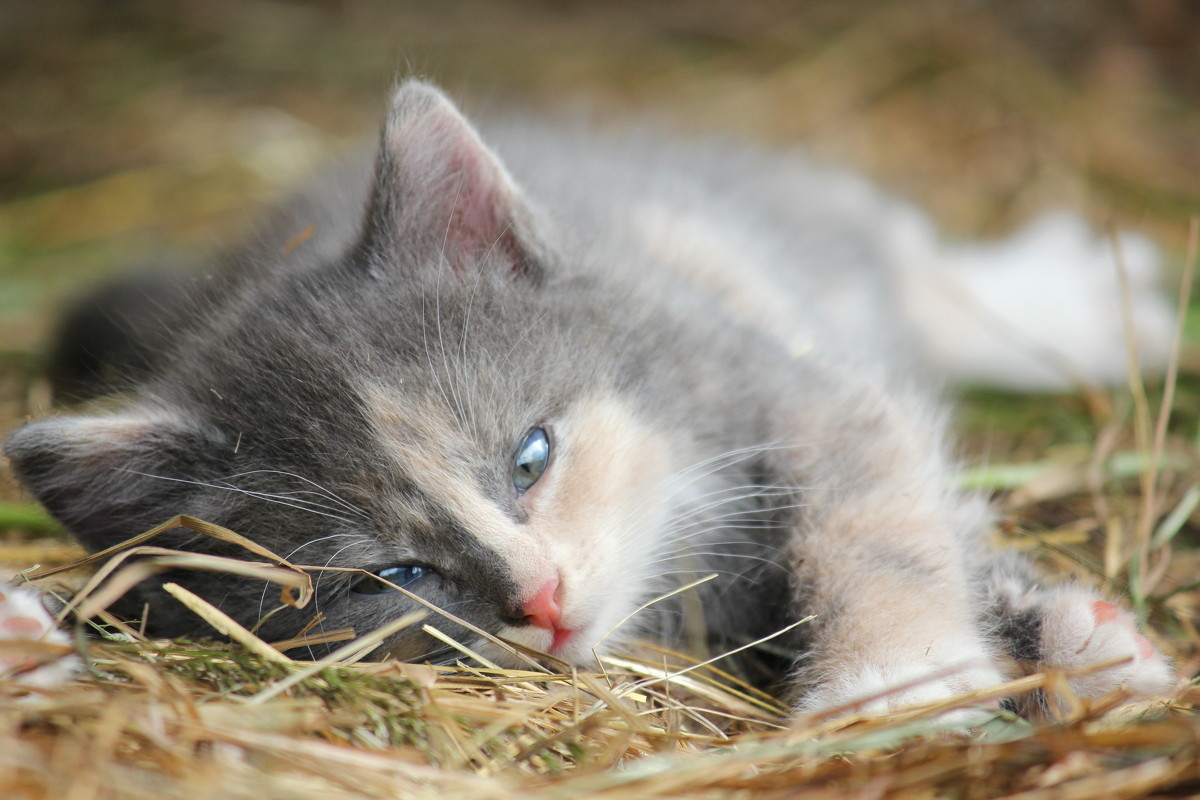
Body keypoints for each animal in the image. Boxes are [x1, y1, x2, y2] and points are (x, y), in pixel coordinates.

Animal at [0, 79, 1176, 714]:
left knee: (908, 259)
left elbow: (875, 507)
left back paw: (1070, 302)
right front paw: (1068, 635)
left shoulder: (785, 379)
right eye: (394, 576)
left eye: (532, 456)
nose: (544, 598)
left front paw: (895, 676)